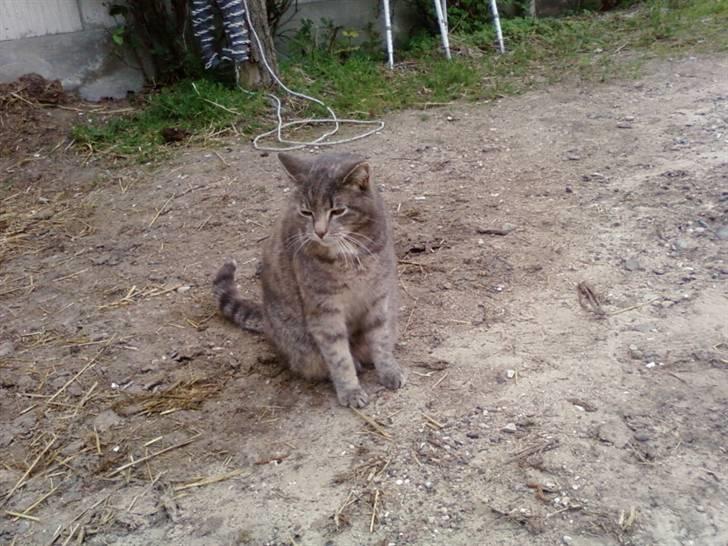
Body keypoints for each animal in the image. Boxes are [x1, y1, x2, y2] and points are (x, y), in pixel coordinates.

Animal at [213, 151, 406, 406]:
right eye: (306, 213)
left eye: (337, 211)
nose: (320, 231)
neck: (350, 255)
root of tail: (266, 319)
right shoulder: (325, 312)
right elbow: (338, 357)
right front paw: (350, 390)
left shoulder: (378, 298)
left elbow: (381, 341)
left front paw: (389, 371)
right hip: (300, 343)